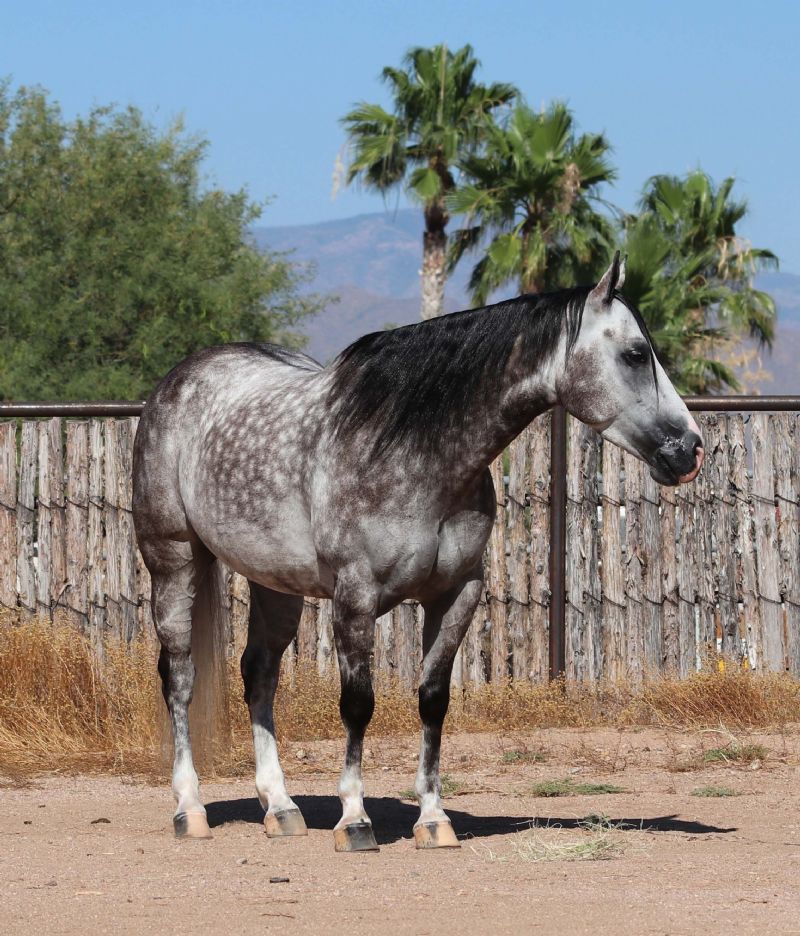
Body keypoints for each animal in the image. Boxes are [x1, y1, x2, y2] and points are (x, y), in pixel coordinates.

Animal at [132, 253, 704, 852]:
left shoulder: (457, 595)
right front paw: (354, 819)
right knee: (180, 676)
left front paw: (433, 819)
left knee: (259, 673)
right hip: (173, 561)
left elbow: (433, 699)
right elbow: (358, 704)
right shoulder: (355, 597)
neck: (414, 450)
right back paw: (189, 808)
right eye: (636, 353)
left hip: (274, 582)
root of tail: (180, 379)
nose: (690, 450)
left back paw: (281, 807)